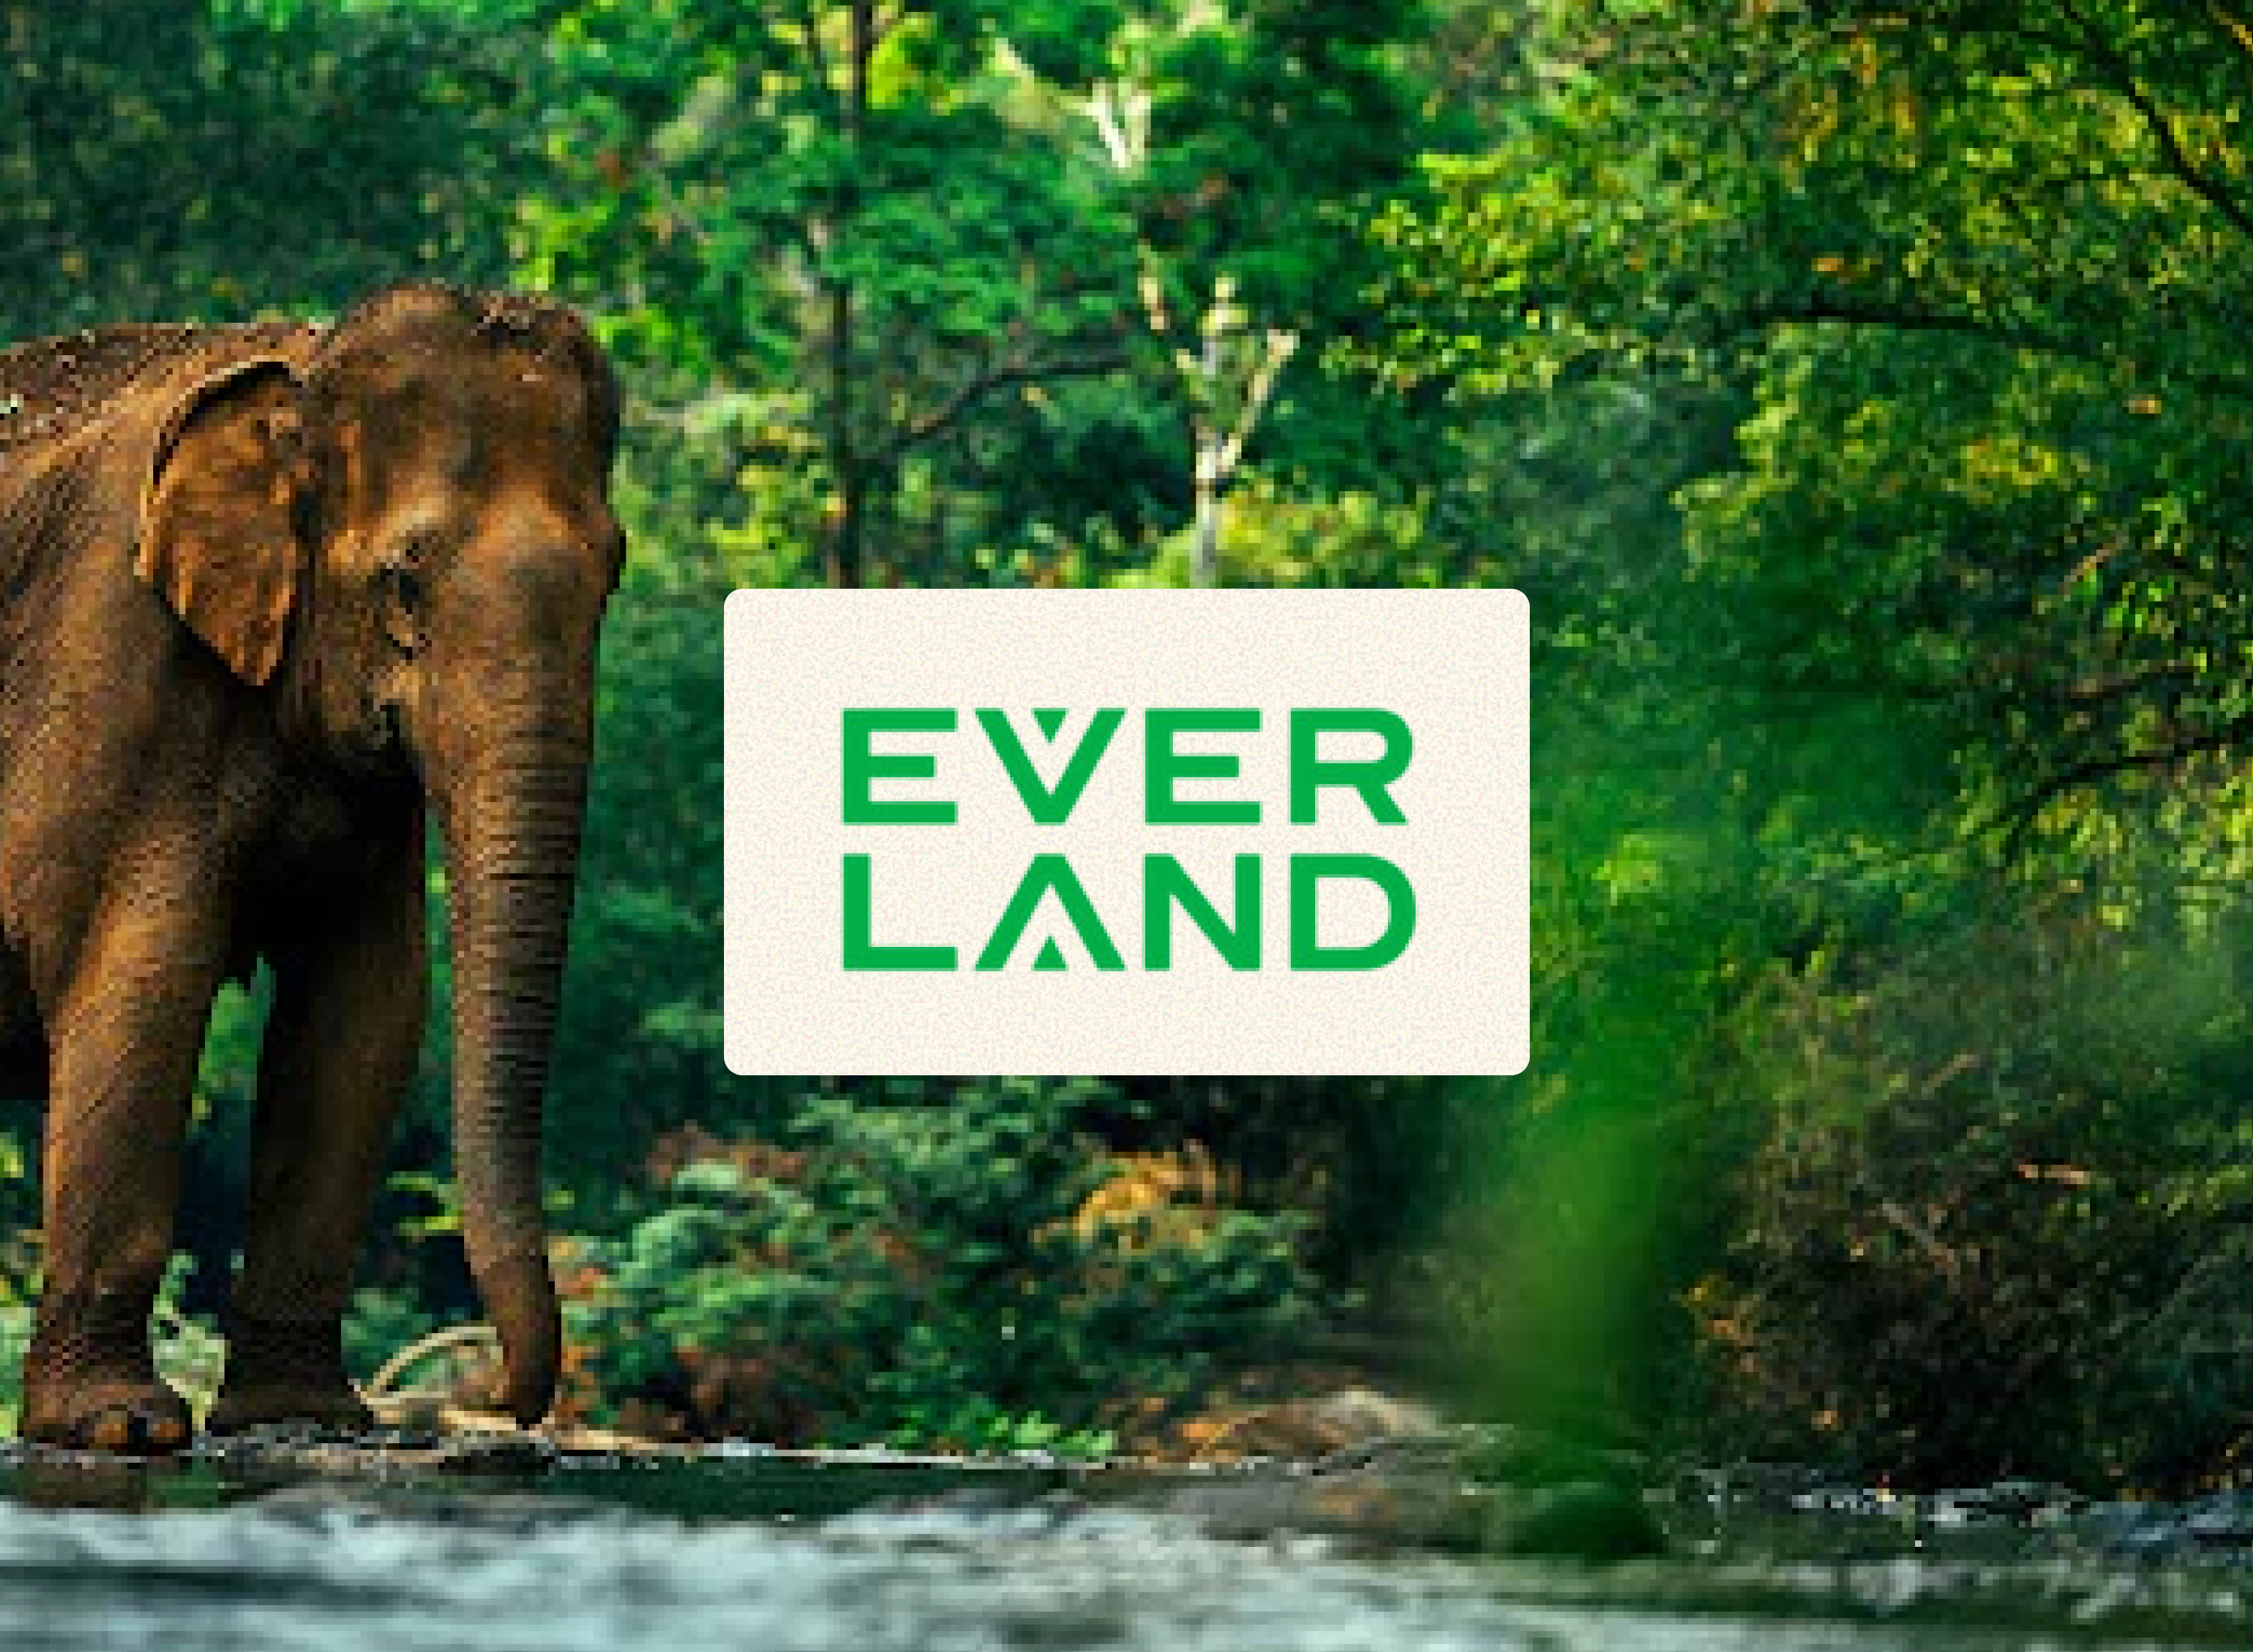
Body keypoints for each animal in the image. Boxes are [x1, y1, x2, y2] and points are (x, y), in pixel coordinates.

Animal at [0, 282, 623, 1451]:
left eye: (614, 575)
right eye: (405, 583)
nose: (497, 1407)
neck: (301, 367)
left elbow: (364, 1012)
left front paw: (307, 1416)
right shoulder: (115, 665)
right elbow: (144, 980)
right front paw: (122, 1427)